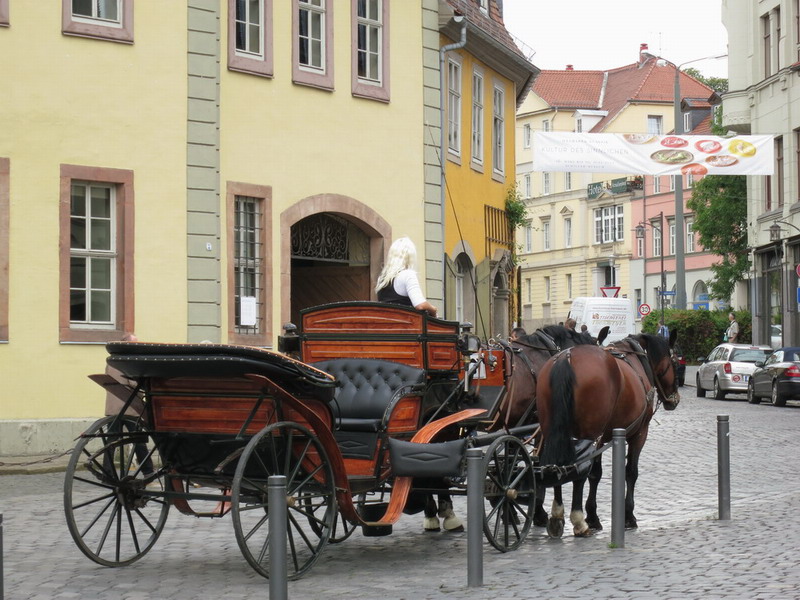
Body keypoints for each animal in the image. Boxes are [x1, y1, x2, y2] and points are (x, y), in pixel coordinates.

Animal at [536, 330, 680, 536]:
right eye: (675, 363)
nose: (675, 399)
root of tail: (566, 357)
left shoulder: (603, 438)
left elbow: (595, 474)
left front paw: (593, 515)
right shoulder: (638, 434)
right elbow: (630, 472)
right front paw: (627, 516)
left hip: (553, 432)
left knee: (557, 466)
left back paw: (557, 516)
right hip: (589, 434)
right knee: (578, 470)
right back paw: (578, 520)